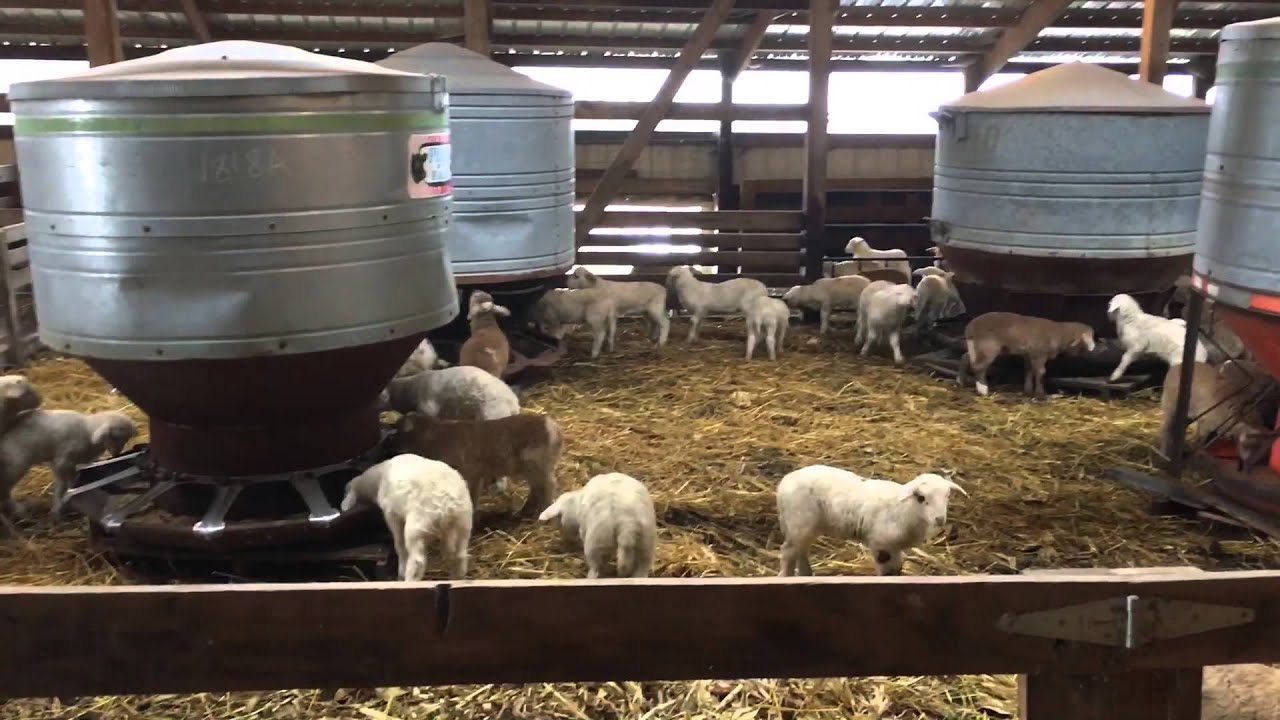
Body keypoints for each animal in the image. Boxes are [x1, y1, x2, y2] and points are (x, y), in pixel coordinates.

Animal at [0, 409, 137, 523]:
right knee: (5, 490)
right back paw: (21, 513)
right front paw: (59, 509)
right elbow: (65, 484)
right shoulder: (63, 460)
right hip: (15, 465)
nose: (117, 453)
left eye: (126, 439)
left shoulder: (64, 463)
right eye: (115, 437)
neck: (87, 432)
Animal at [340, 453, 472, 580]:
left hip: (417, 526)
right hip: (463, 524)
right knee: (460, 555)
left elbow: (399, 544)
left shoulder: (392, 515)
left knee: (417, 561)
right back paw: (456, 578)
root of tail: (448, 504)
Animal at [389, 411, 562, 517]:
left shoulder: (468, 474)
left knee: (549, 485)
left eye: (399, 432)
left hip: (539, 467)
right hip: (531, 470)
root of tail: (553, 428)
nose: (393, 447)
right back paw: (525, 510)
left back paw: (544, 508)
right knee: (537, 488)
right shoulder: (476, 476)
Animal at [776, 464, 966, 576]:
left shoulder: (895, 548)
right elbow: (886, 573)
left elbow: (897, 570)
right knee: (788, 551)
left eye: (948, 495)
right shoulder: (882, 545)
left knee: (800, 551)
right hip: (800, 521)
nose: (940, 519)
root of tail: (783, 484)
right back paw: (785, 577)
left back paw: (804, 575)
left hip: (804, 526)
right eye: (921, 497)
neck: (905, 510)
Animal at [957, 312, 1096, 399]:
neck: (1059, 334)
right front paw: (1040, 393)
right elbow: (1040, 372)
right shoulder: (1038, 354)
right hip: (989, 346)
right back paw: (983, 390)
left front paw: (1028, 390)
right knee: (979, 367)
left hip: (976, 346)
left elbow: (1029, 371)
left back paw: (960, 381)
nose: (1091, 350)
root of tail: (970, 328)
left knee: (965, 358)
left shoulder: (1028, 354)